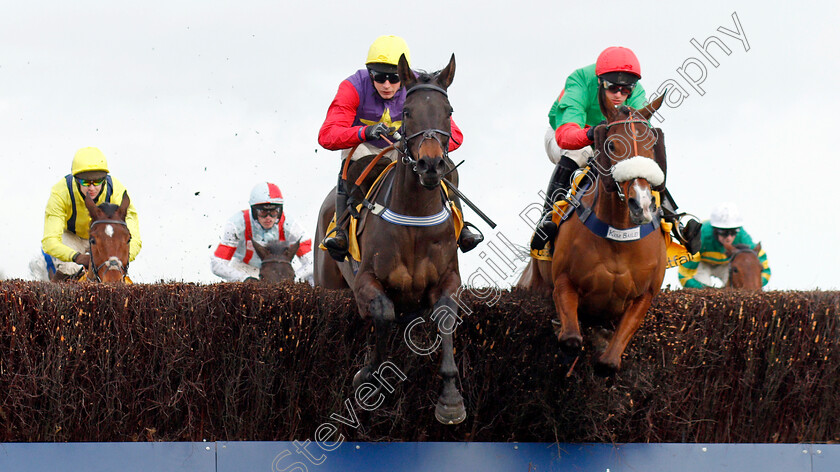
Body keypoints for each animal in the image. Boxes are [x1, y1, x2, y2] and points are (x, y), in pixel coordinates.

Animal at [312, 54, 466, 424]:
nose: (430, 164)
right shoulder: (366, 280)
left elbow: (445, 316)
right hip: (328, 279)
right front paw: (368, 375)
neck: (414, 217)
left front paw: (450, 399)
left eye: (449, 111)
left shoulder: (448, 278)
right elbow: (383, 312)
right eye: (407, 111)